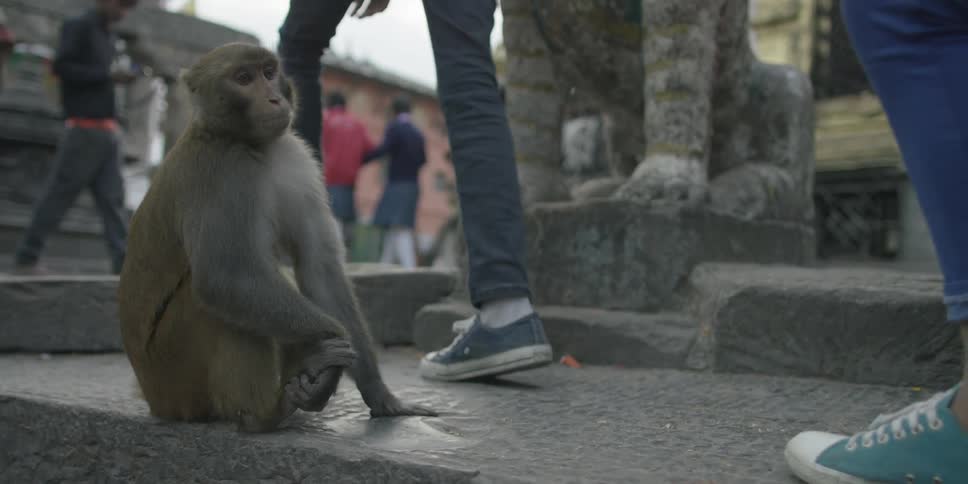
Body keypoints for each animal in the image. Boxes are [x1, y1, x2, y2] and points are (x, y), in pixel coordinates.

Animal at [117, 43, 436, 433]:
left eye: (269, 73)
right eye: (243, 78)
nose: (273, 98)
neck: (247, 143)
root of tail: (152, 398)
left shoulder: (294, 157)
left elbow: (319, 269)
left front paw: (378, 393)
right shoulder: (222, 172)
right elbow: (227, 278)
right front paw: (331, 346)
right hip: (173, 372)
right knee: (212, 300)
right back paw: (266, 412)